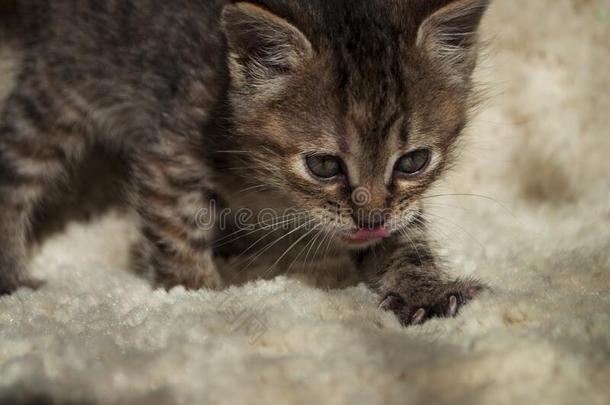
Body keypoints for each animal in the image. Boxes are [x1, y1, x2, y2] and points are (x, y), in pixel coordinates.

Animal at [0, 0, 486, 326]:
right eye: (324, 166)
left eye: (413, 161)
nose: (370, 220)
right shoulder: (170, 153)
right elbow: (177, 232)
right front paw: (198, 297)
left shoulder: (397, 207)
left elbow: (407, 239)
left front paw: (423, 289)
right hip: (61, 92)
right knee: (14, 171)